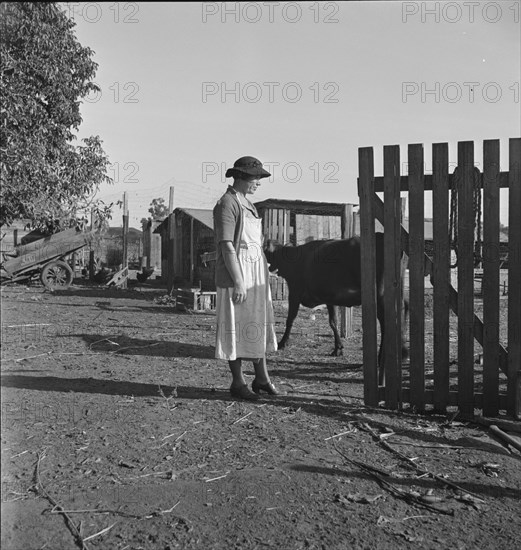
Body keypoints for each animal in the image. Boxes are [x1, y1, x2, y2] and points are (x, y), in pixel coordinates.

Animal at [266, 235, 408, 382]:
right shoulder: (329, 298)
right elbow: (333, 322)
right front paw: (338, 348)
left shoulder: (295, 291)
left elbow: (290, 319)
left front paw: (282, 343)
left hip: (380, 296)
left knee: (387, 323)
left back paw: (382, 358)